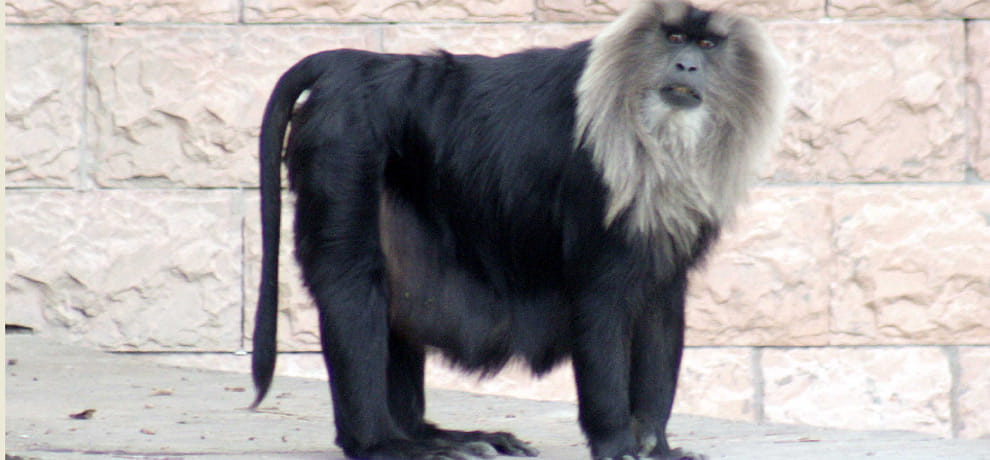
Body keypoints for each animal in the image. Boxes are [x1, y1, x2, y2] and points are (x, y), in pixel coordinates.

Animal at [250, 0, 785, 459]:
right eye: (674, 38)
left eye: (708, 45)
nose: (687, 67)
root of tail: (353, 63)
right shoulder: (594, 200)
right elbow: (601, 303)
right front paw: (617, 444)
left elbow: (660, 307)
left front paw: (657, 447)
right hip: (344, 141)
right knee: (352, 285)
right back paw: (382, 443)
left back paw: (430, 434)